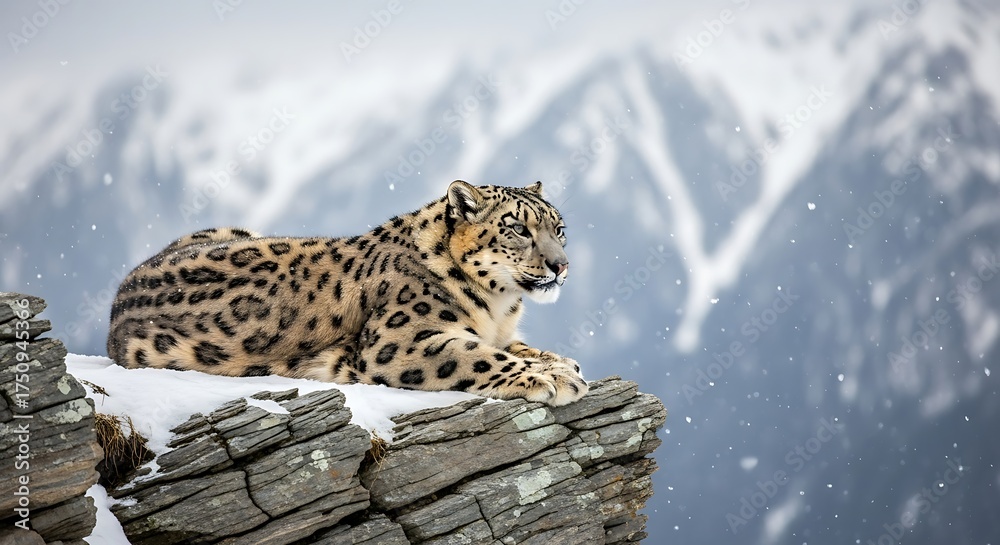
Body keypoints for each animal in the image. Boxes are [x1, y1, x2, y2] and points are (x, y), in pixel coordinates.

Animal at [106, 181, 588, 406]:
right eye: (518, 228)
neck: (499, 308)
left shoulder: (502, 333)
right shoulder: (402, 340)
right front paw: (553, 378)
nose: (561, 265)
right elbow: (480, 356)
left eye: (559, 229)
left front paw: (561, 363)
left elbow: (517, 347)